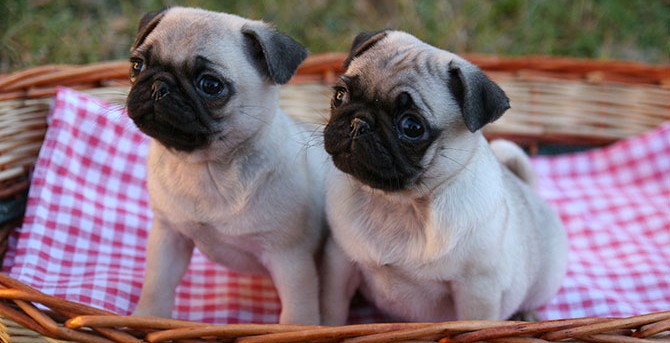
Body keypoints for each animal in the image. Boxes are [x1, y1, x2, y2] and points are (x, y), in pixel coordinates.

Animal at [126, 7, 328, 326]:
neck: (206, 167)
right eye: (137, 65)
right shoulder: (169, 236)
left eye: (210, 85)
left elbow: (298, 313)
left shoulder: (291, 260)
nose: (159, 85)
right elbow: (157, 284)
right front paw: (146, 318)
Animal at [320, 30, 568, 326]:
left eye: (412, 127)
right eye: (340, 96)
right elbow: (332, 310)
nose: (359, 123)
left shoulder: (477, 289)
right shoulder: (339, 261)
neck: (397, 205)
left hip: (544, 279)